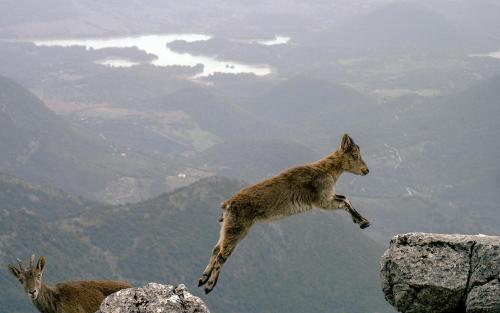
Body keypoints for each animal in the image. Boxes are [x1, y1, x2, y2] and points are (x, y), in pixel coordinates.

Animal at [199, 133, 372, 292]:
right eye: (355, 155)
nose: (366, 170)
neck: (327, 170)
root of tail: (227, 205)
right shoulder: (322, 201)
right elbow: (344, 201)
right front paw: (362, 222)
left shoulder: (328, 197)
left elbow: (345, 198)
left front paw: (363, 221)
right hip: (238, 229)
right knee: (222, 255)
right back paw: (209, 285)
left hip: (228, 227)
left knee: (216, 249)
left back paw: (202, 278)